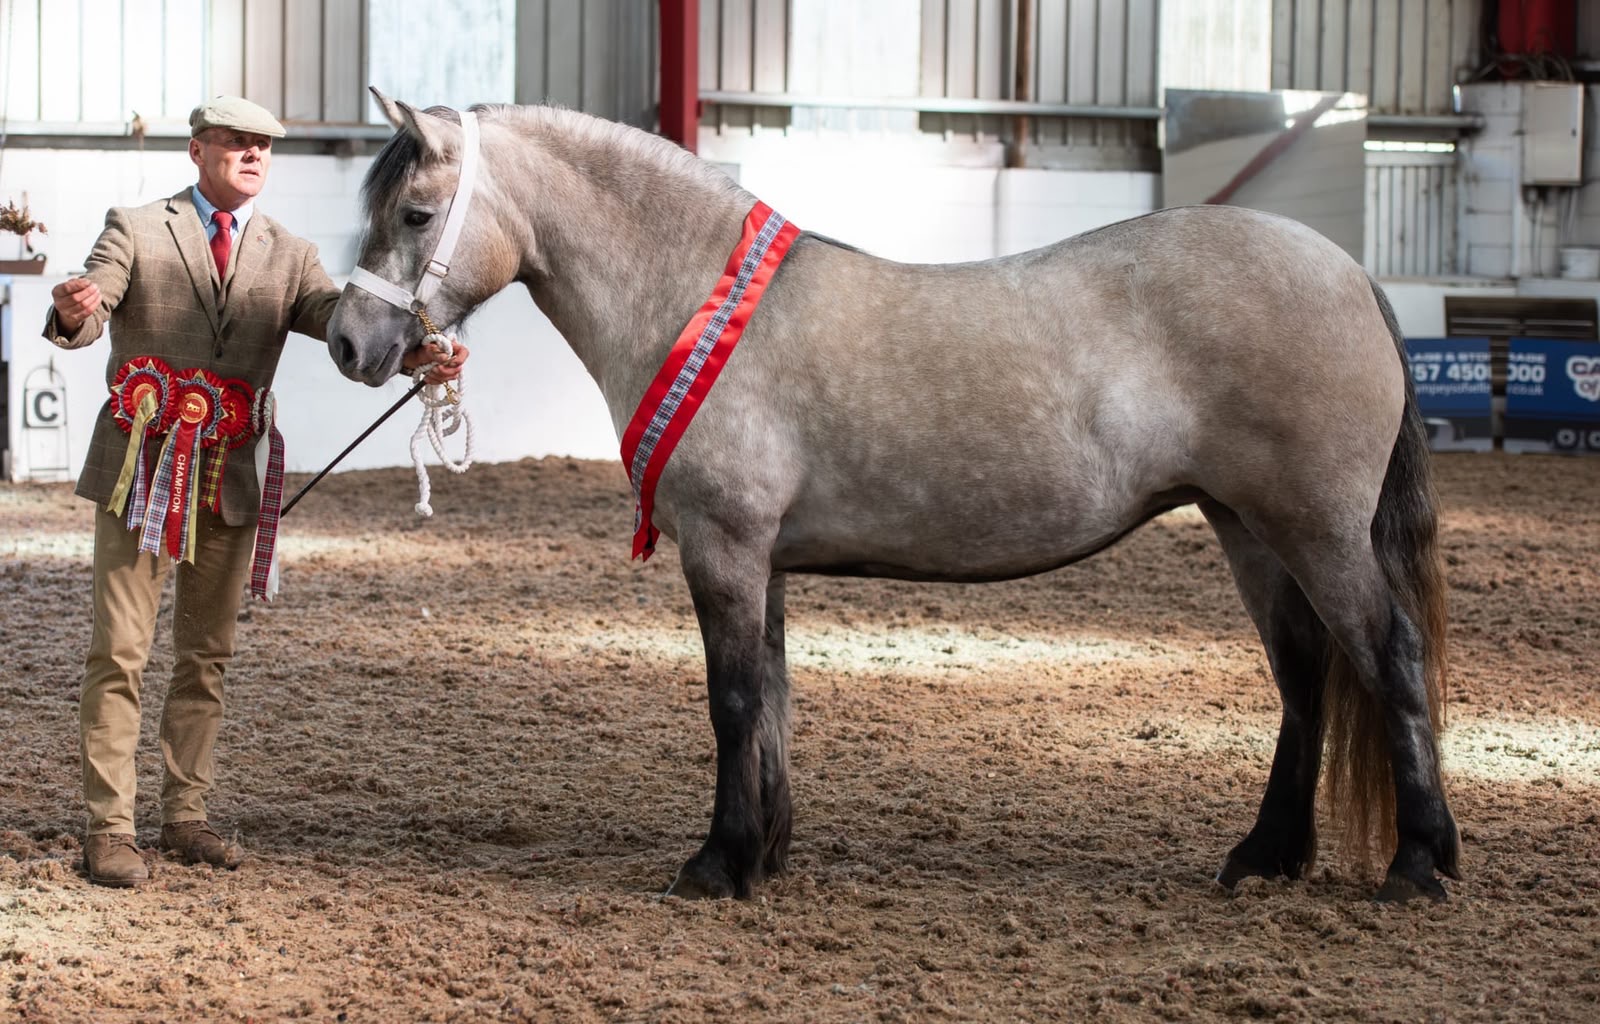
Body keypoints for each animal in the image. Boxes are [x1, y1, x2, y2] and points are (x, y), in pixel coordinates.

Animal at [326, 89, 1460, 903]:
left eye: (416, 213)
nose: (347, 343)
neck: (693, 298)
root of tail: (1343, 270)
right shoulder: (761, 559)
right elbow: (772, 700)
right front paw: (765, 855)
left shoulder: (723, 548)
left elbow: (731, 701)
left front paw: (715, 866)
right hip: (1249, 528)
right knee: (1306, 676)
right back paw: (1265, 855)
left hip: (1312, 529)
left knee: (1387, 657)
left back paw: (1418, 867)